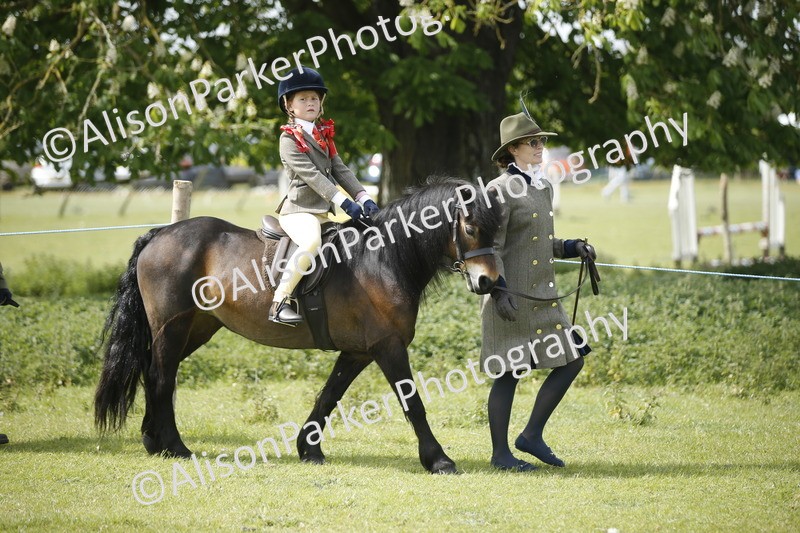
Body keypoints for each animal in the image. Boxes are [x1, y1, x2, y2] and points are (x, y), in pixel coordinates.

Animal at [94, 178, 502, 474]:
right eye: (469, 227)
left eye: (496, 229)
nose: (488, 282)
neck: (382, 258)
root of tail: (161, 234)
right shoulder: (388, 347)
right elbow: (412, 401)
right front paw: (439, 459)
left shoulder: (357, 352)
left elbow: (329, 396)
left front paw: (309, 449)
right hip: (172, 328)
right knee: (161, 377)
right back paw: (175, 446)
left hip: (197, 328)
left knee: (154, 373)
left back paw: (154, 441)